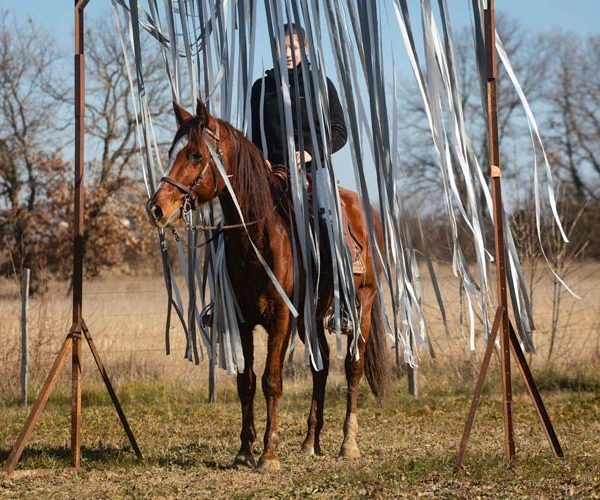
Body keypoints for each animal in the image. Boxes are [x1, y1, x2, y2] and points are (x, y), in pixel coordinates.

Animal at [146, 99, 390, 470]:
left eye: (196, 155)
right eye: (174, 152)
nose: (158, 208)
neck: (258, 235)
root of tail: (368, 213)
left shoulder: (281, 318)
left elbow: (271, 381)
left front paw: (269, 454)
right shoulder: (242, 320)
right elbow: (246, 382)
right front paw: (244, 451)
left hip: (362, 303)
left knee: (353, 366)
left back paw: (348, 444)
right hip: (310, 319)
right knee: (320, 366)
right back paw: (310, 442)